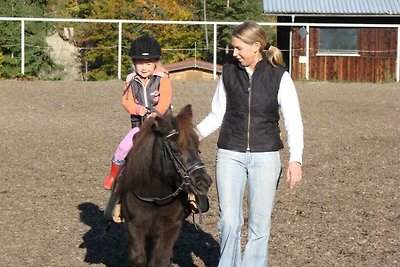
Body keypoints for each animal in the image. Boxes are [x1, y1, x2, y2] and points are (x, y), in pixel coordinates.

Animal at [119, 105, 212, 267]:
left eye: (197, 146)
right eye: (175, 149)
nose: (204, 182)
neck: (154, 196)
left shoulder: (171, 227)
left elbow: (160, 260)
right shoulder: (134, 225)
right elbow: (138, 258)